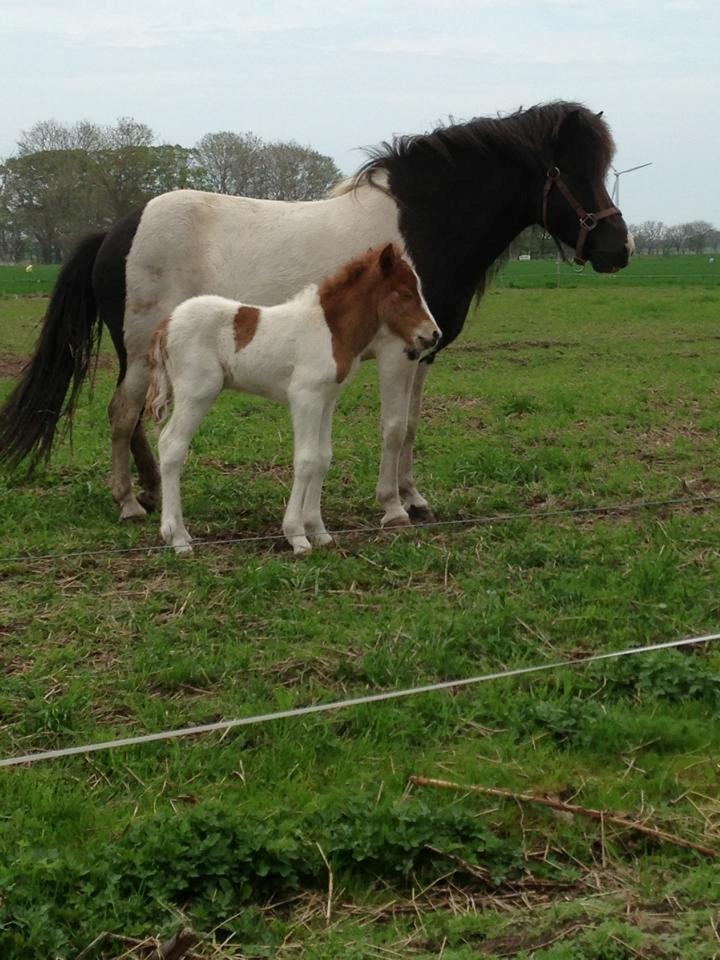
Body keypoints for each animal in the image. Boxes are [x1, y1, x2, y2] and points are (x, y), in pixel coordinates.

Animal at [0, 103, 632, 524]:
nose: (618, 249)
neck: (421, 224)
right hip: (137, 351)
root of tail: (117, 230)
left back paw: (152, 492)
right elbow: (393, 426)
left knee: (135, 420)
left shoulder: (423, 352)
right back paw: (131, 503)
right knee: (121, 414)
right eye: (568, 169)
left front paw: (414, 498)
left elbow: (412, 427)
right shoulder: (398, 353)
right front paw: (391, 507)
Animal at [146, 242, 438, 556]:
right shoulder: (305, 397)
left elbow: (322, 458)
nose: (434, 334)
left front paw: (319, 532)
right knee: (171, 446)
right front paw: (297, 536)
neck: (331, 330)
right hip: (197, 392)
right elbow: (306, 460)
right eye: (405, 293)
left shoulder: (326, 401)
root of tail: (165, 325)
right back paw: (177, 537)